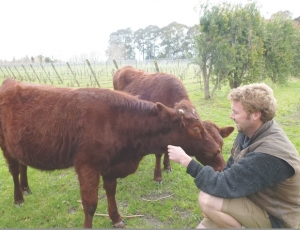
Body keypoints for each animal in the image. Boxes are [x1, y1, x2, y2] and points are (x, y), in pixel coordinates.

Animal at [0, 78, 223, 228]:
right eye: (196, 129)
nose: (217, 154)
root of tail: (11, 81)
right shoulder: (87, 166)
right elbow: (90, 204)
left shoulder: (111, 165)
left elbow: (111, 192)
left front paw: (116, 218)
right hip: (6, 146)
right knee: (14, 169)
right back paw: (19, 198)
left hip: (20, 145)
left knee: (22, 164)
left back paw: (26, 188)